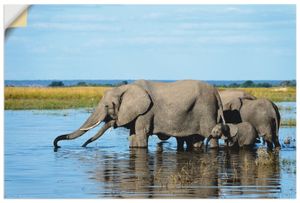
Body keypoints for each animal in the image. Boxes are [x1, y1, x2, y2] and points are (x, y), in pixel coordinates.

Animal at [52, 79, 224, 149]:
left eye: (107, 106)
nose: (57, 145)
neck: (124, 88)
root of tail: (216, 91)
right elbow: (133, 136)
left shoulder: (145, 112)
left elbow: (141, 134)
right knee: (196, 139)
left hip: (206, 109)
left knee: (211, 136)